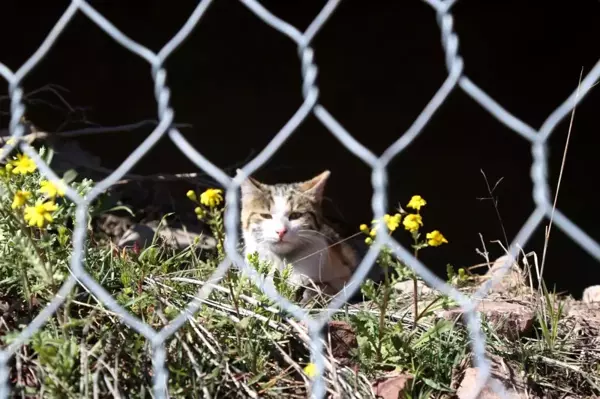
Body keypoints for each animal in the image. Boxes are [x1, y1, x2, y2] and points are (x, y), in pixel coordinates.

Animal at [239, 170, 360, 304]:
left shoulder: (344, 275)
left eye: (296, 215)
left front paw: (310, 294)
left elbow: (327, 287)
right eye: (266, 216)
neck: (284, 260)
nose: (281, 231)